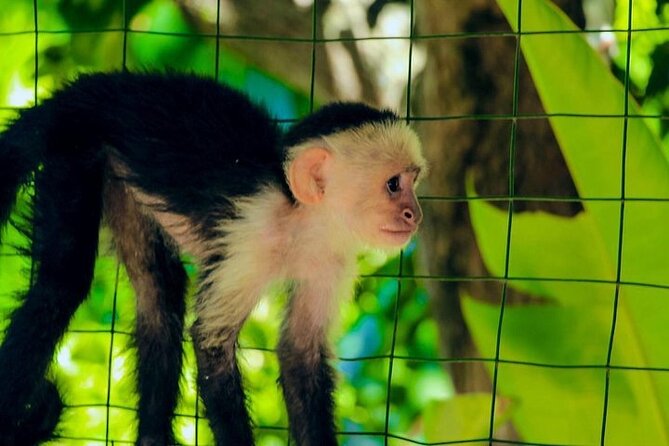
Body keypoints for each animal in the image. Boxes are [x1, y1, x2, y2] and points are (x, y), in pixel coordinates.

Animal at [0, 71, 426, 446]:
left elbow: (300, 351)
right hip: (75, 150)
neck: (299, 222)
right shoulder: (251, 235)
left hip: (118, 176)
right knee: (60, 287)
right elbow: (211, 343)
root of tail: (93, 89)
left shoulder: (332, 259)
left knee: (159, 298)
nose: (415, 214)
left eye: (414, 181)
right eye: (393, 185)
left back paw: (152, 437)